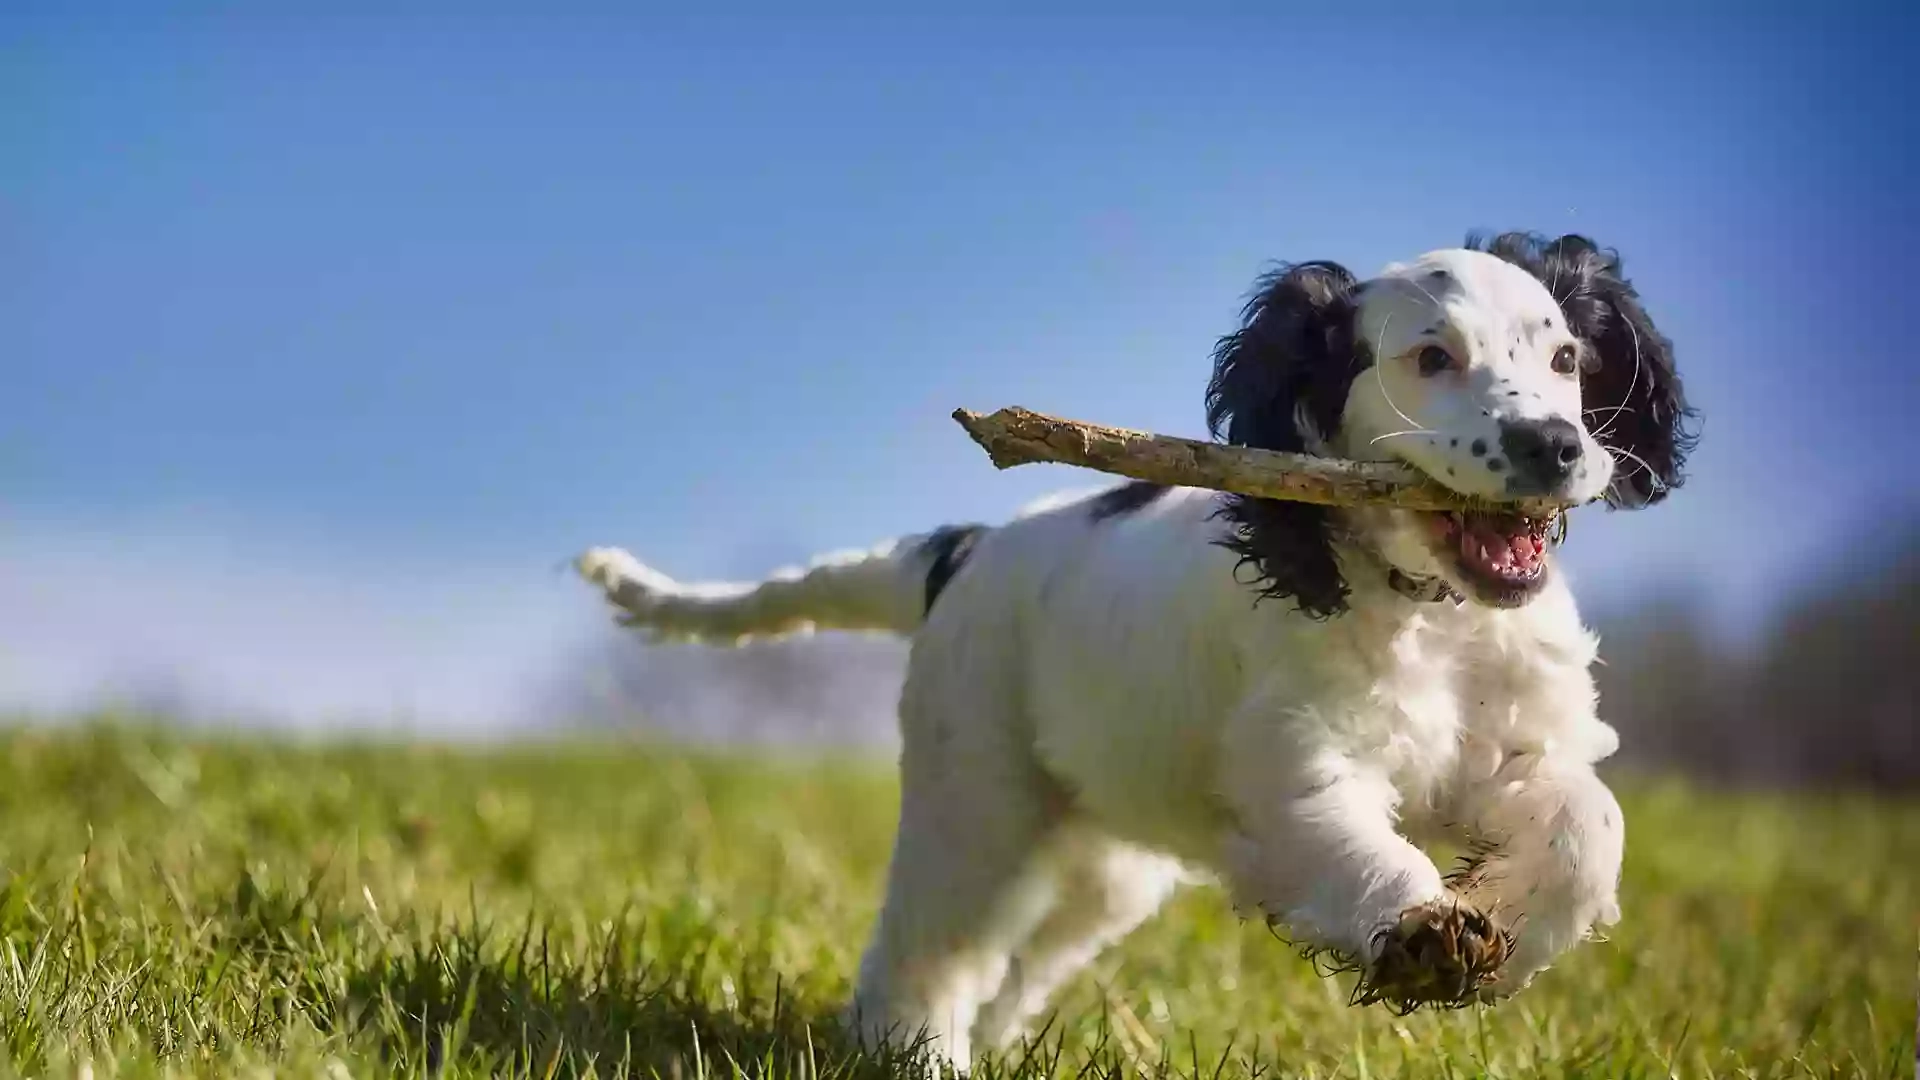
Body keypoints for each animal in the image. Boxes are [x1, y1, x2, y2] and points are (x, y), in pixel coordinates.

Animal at [572, 226, 1697, 1060]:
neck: (1430, 611)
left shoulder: (1521, 745)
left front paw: (1511, 927)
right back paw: (917, 1052)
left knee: (1019, 960)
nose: (1555, 447)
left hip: (1102, 863)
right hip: (977, 797)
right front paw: (1424, 931)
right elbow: (1351, 840)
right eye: (1432, 359)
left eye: (1566, 359)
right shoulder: (1294, 764)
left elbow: (1591, 826)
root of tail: (965, 549)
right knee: (929, 947)